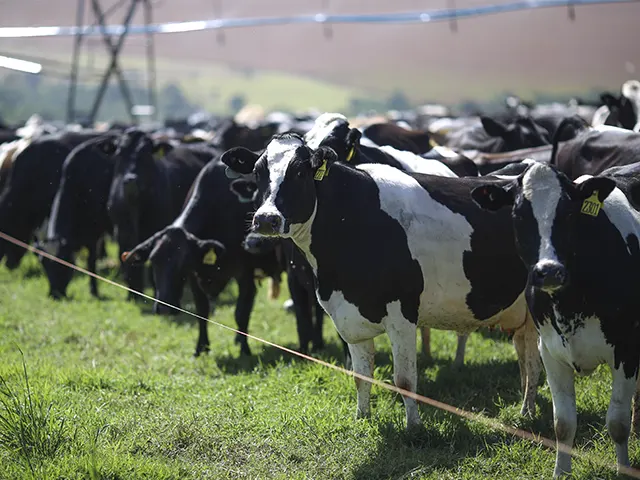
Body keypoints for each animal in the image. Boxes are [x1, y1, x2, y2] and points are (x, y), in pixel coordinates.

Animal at [39, 135, 119, 298]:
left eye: (62, 263)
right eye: (44, 264)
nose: (54, 294)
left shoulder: (94, 235)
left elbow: (91, 262)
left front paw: (94, 291)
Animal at [104, 129, 211, 298]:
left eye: (146, 152)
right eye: (120, 152)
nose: (130, 180)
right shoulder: (122, 231)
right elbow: (128, 261)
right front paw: (133, 295)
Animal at [119, 159, 288, 358]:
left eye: (182, 262)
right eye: (153, 262)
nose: (163, 308)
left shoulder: (244, 274)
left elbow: (241, 312)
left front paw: (244, 349)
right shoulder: (195, 276)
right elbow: (202, 310)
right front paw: (201, 348)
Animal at [219, 133, 540, 430]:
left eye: (299, 172)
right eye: (258, 172)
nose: (265, 219)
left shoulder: (402, 314)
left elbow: (405, 380)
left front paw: (414, 427)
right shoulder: (348, 316)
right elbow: (361, 377)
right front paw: (362, 417)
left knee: (534, 362)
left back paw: (527, 413)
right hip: (522, 312)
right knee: (526, 359)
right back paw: (526, 410)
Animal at [470, 161, 640, 476]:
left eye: (570, 213)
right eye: (518, 215)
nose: (549, 271)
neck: (571, 304)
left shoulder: (626, 349)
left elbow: (617, 423)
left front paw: (624, 470)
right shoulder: (549, 349)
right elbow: (563, 423)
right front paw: (561, 472)